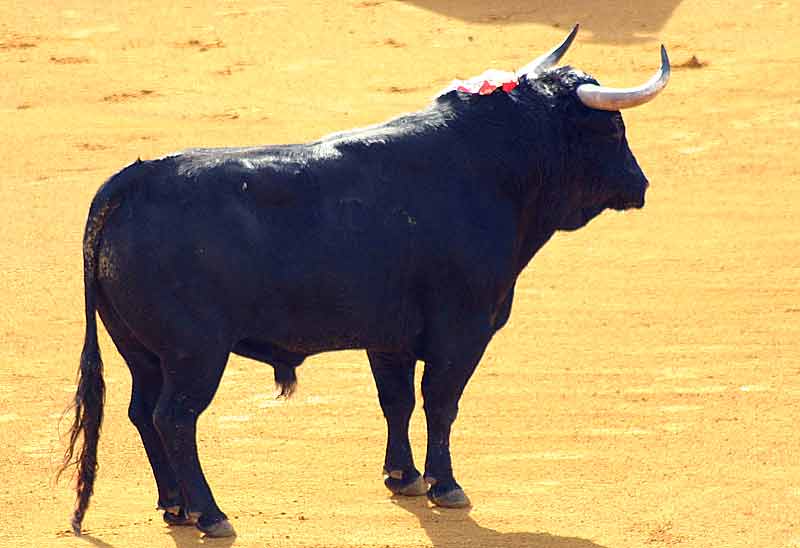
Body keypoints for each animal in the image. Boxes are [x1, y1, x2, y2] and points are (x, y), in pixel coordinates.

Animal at [62, 24, 668, 536]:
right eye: (613, 128)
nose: (640, 184)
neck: (493, 169)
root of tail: (132, 181)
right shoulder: (464, 329)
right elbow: (441, 401)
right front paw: (446, 486)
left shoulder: (389, 336)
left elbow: (395, 400)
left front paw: (403, 477)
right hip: (195, 355)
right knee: (174, 418)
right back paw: (210, 514)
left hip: (141, 351)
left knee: (143, 413)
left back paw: (175, 506)